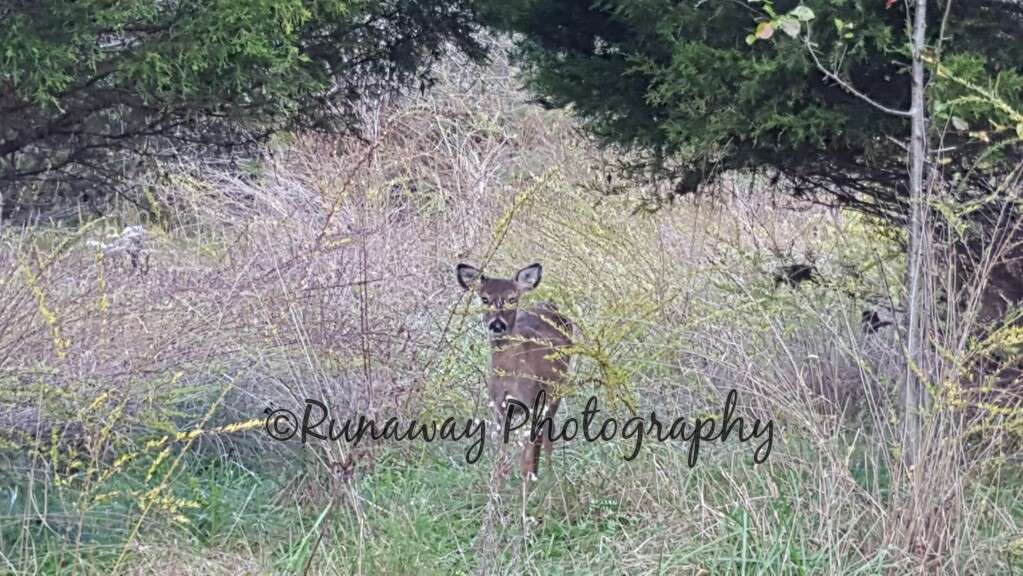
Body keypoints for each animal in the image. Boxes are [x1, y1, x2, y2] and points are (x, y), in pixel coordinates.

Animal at [458, 263, 576, 489]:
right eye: (484, 298)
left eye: (512, 298)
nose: (497, 325)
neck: (510, 373)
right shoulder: (499, 406)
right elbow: (501, 455)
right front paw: (498, 487)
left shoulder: (532, 401)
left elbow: (525, 456)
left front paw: (527, 487)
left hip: (554, 394)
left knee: (547, 437)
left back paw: (549, 479)